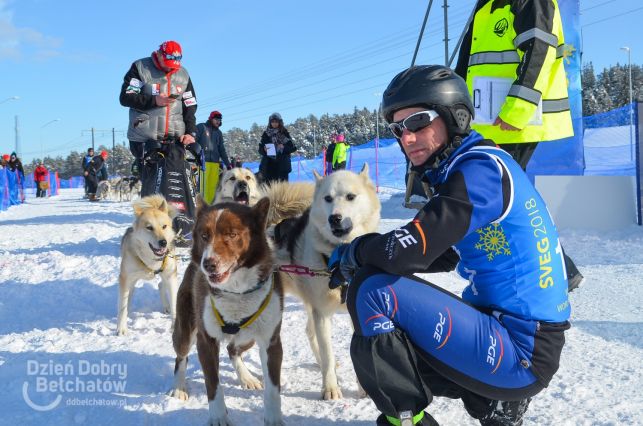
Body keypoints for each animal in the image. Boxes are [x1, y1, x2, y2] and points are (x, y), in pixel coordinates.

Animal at [169, 198, 284, 424]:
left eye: (232, 234)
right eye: (204, 235)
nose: (208, 264)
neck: (237, 292)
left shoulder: (272, 342)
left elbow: (273, 389)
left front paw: (274, 418)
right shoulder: (206, 341)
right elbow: (213, 385)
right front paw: (218, 417)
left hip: (248, 338)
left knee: (233, 349)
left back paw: (246, 376)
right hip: (186, 331)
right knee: (181, 356)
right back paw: (178, 386)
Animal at [272, 164, 382, 400]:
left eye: (350, 196)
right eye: (328, 198)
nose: (335, 218)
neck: (340, 262)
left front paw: (364, 387)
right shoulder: (322, 314)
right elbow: (328, 354)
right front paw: (330, 388)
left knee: (309, 332)